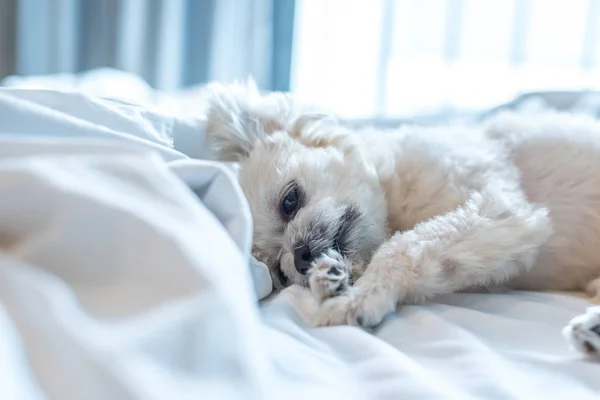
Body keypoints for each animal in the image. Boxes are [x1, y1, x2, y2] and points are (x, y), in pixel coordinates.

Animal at [204, 83, 600, 358]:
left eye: (289, 202)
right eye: (281, 272)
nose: (300, 256)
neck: (395, 202)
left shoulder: (501, 211)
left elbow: (404, 246)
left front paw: (358, 297)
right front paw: (332, 279)